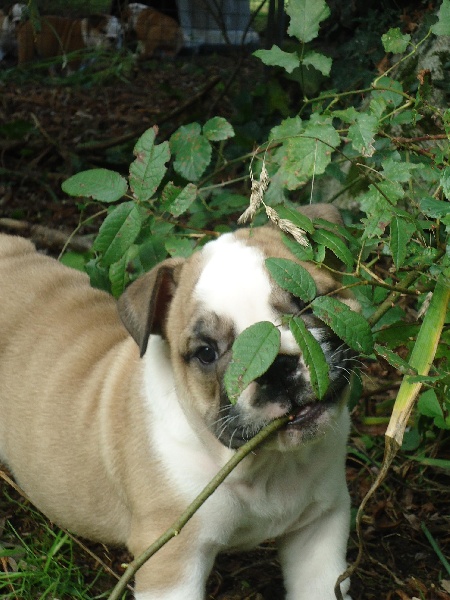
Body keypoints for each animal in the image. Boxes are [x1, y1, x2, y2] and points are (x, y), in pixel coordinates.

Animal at [0, 204, 355, 599]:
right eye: (206, 353)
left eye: (308, 303)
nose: (276, 367)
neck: (268, 465)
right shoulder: (171, 560)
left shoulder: (321, 525)